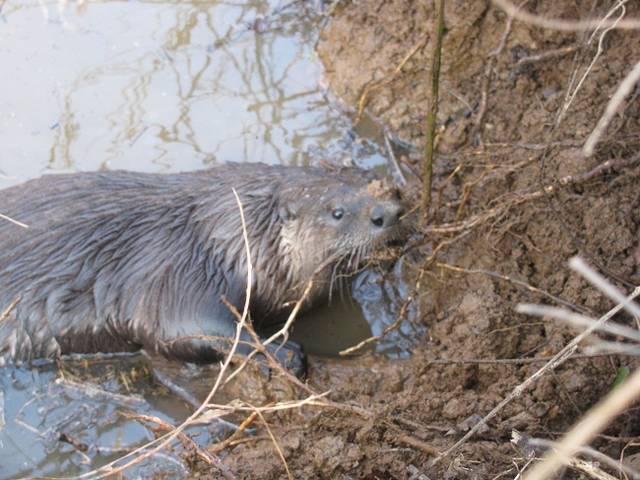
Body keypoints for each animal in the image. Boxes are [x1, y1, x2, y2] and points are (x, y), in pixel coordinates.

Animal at [0, 163, 404, 375]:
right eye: (337, 212)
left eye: (381, 189)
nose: (388, 214)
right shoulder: (181, 271)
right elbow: (180, 327)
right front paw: (285, 352)